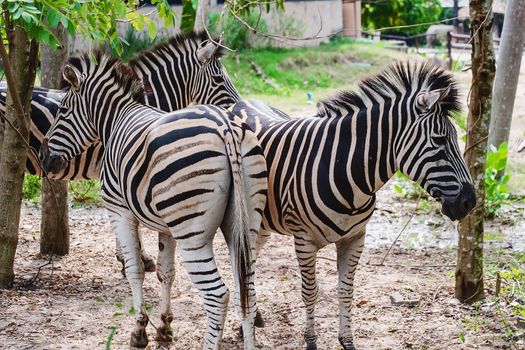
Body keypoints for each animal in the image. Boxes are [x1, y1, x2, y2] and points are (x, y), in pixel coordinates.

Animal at [37, 52, 266, 350]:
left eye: (63, 110)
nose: (43, 158)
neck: (116, 120)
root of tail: (225, 126)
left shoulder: (119, 211)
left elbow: (135, 269)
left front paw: (139, 331)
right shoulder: (166, 226)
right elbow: (165, 272)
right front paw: (165, 329)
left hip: (192, 234)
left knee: (218, 296)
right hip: (245, 225)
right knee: (245, 291)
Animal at [228, 61, 474, 348]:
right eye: (439, 140)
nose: (470, 201)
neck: (347, 171)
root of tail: (239, 102)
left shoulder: (355, 237)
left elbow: (346, 290)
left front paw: (347, 341)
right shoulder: (304, 240)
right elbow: (310, 292)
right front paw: (311, 341)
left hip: (263, 224)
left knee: (248, 265)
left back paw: (251, 318)